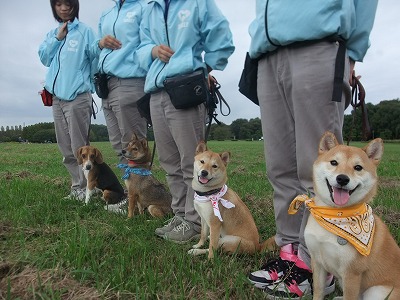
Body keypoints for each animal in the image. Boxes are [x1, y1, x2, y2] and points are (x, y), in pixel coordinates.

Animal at [290, 132, 400, 300]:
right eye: (334, 162)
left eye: (358, 167)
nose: (342, 178)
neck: (335, 215)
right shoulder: (318, 262)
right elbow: (318, 291)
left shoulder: (351, 273)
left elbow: (350, 296)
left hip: (377, 291)